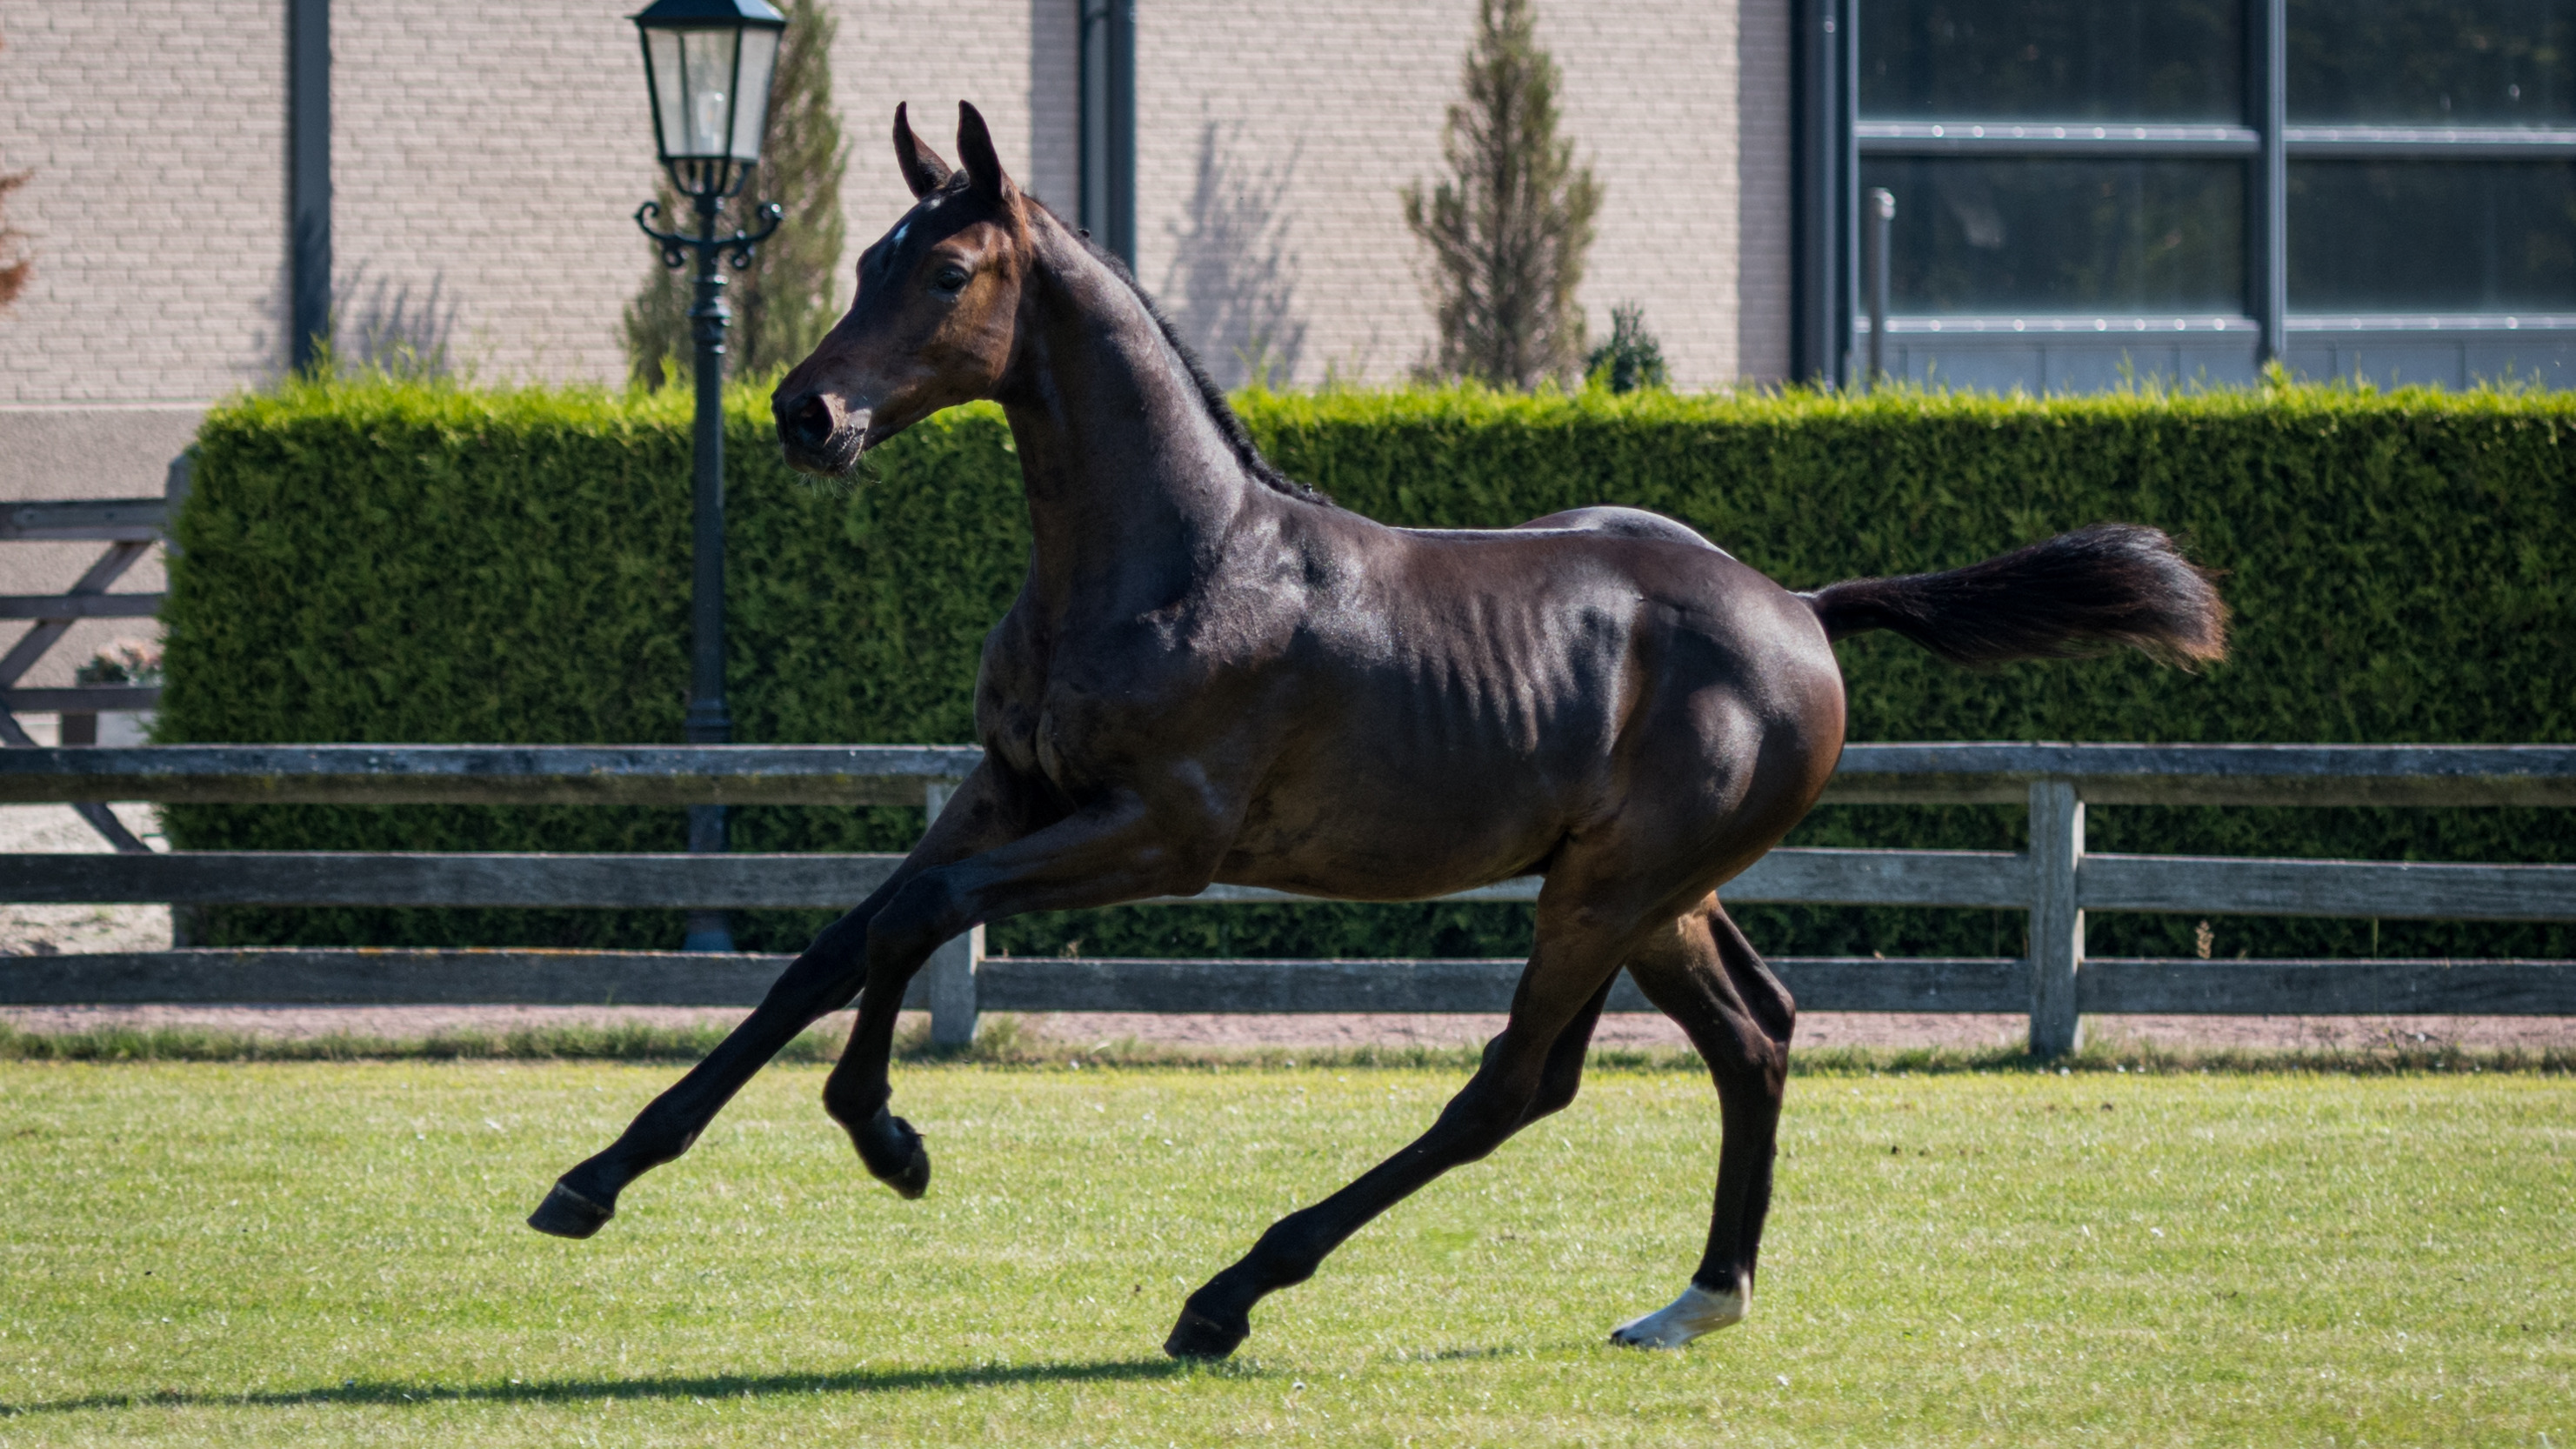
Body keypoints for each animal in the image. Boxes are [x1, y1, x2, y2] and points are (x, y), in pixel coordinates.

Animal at [529, 101, 2227, 1359]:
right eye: (869, 258)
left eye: (943, 274)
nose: (803, 416)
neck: (1173, 560)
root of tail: (1800, 610)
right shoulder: (1008, 788)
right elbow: (839, 939)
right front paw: (594, 1176)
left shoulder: (1162, 836)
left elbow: (916, 919)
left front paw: (883, 1133)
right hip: (1653, 892)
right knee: (1755, 1033)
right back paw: (1698, 1297)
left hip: (1606, 887)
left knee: (1517, 1084)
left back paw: (1229, 1293)